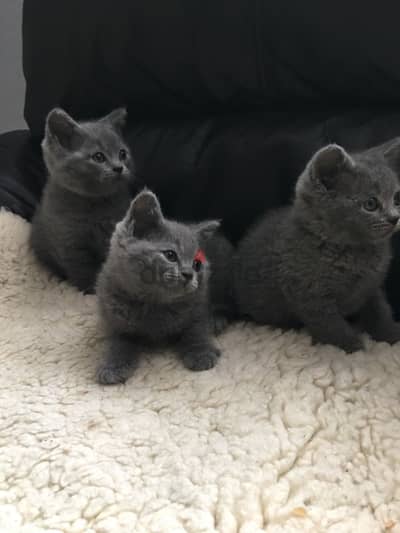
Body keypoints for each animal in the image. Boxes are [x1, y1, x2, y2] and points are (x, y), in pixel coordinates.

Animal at [30, 106, 133, 294]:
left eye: (122, 154)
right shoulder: (71, 246)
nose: (119, 167)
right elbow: (82, 272)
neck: (96, 206)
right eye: (98, 157)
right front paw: (90, 291)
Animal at [95, 189, 230, 384]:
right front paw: (112, 366)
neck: (155, 303)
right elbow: (118, 342)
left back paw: (217, 320)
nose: (188, 273)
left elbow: (197, 328)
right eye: (170, 255)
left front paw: (202, 353)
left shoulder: (199, 304)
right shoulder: (114, 317)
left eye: (197, 264)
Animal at [234, 140, 400, 354]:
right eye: (371, 204)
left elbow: (381, 311)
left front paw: (391, 334)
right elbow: (332, 326)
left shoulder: (371, 287)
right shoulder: (311, 297)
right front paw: (353, 346)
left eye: (396, 199)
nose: (395, 218)